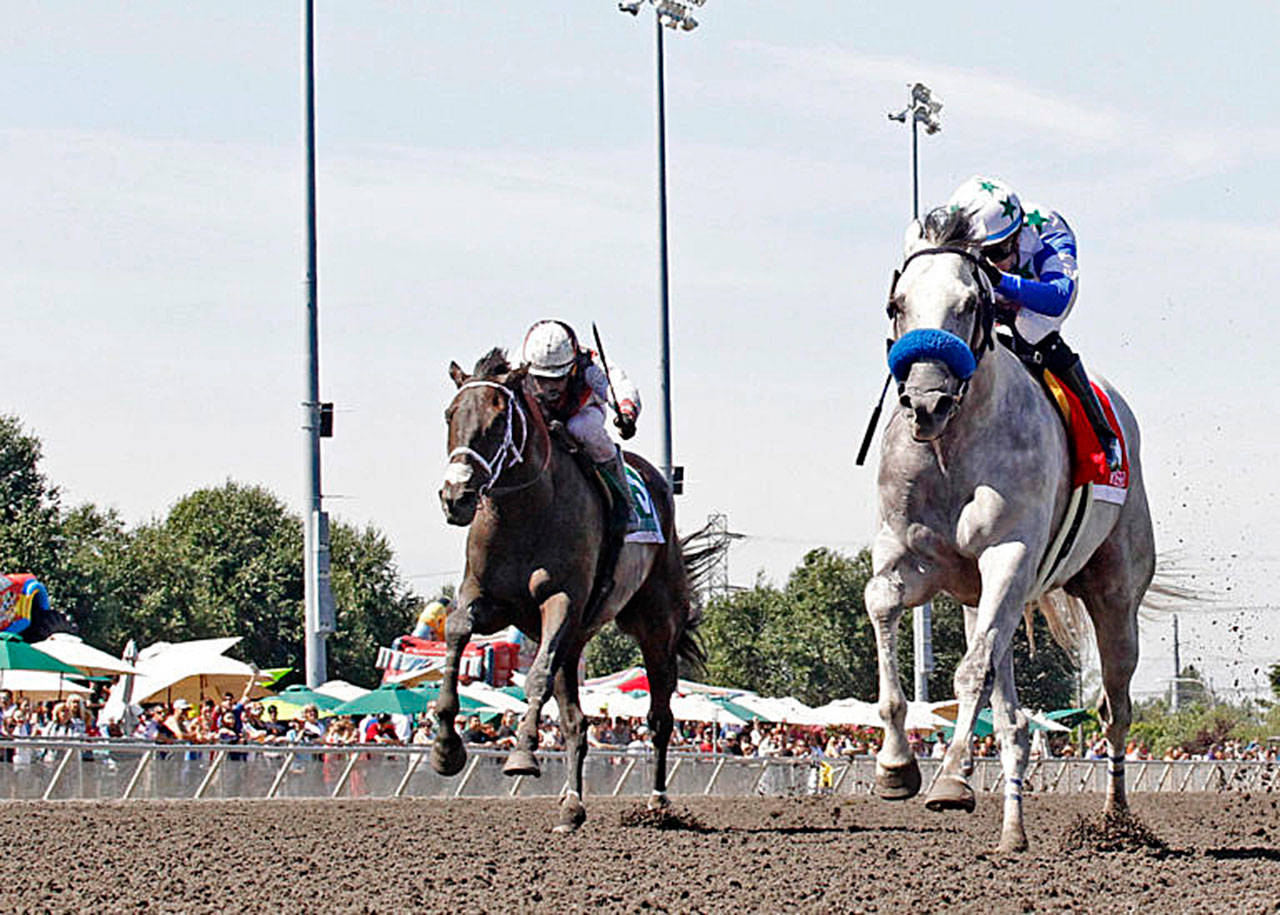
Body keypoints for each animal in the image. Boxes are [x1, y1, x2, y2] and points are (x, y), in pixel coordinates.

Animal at [435, 353, 706, 839]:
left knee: (659, 718)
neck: (525, 512)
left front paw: (522, 754)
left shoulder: (560, 602)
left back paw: (658, 803)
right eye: (451, 415)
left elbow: (535, 677)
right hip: (576, 641)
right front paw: (446, 748)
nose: (456, 496)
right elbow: (457, 632)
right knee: (577, 723)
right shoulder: (485, 599)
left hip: (656, 624)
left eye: (498, 419)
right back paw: (571, 805)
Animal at [865, 211, 1157, 854]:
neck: (952, 447)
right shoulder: (910, 558)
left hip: (1115, 595)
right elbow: (881, 606)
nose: (925, 401)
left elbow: (969, 670)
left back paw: (1116, 821)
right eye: (897, 304)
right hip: (981, 599)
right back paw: (1012, 829)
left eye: (972, 303)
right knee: (1012, 713)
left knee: (1114, 708)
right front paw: (897, 765)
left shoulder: (1009, 555)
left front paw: (949, 778)